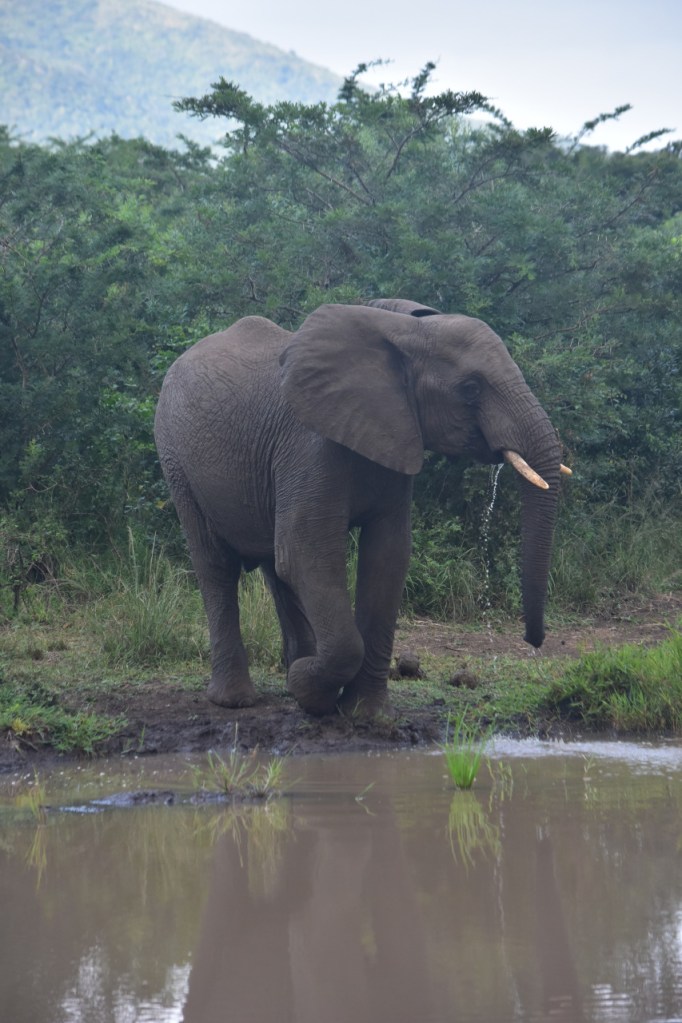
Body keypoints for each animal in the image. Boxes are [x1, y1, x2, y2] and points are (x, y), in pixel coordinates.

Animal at [154, 299, 566, 717]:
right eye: (470, 388)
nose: (533, 641)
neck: (404, 330)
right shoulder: (309, 444)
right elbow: (306, 552)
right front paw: (310, 689)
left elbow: (387, 555)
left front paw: (361, 712)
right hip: (175, 457)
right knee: (217, 565)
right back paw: (237, 700)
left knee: (274, 568)